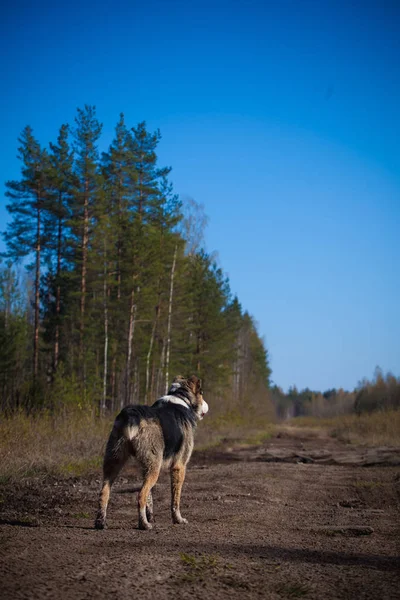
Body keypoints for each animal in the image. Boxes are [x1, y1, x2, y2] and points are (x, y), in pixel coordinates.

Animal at [95, 376, 209, 528]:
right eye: (201, 392)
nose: (207, 406)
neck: (181, 397)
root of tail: (131, 414)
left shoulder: (144, 467)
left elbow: (150, 498)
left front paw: (151, 517)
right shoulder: (179, 466)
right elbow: (175, 499)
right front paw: (178, 520)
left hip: (115, 460)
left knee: (104, 492)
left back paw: (100, 523)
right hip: (154, 467)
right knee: (140, 495)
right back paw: (144, 525)